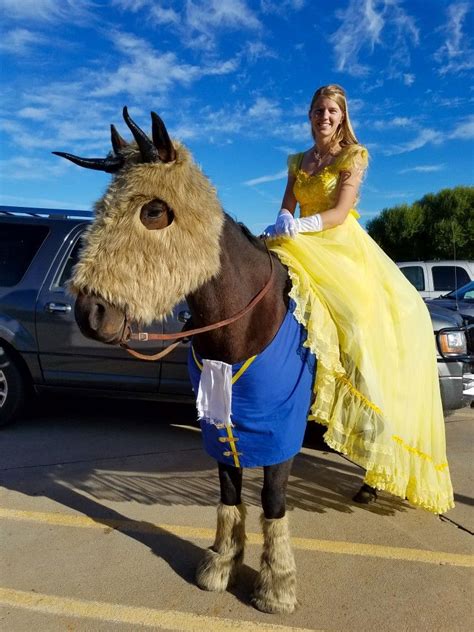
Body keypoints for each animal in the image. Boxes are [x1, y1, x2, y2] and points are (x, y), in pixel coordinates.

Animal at [54, 107, 370, 612]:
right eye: (101, 209)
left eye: (153, 211)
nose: (90, 312)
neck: (244, 324)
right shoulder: (221, 423)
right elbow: (229, 490)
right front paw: (222, 563)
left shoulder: (282, 426)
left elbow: (273, 499)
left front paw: (277, 583)